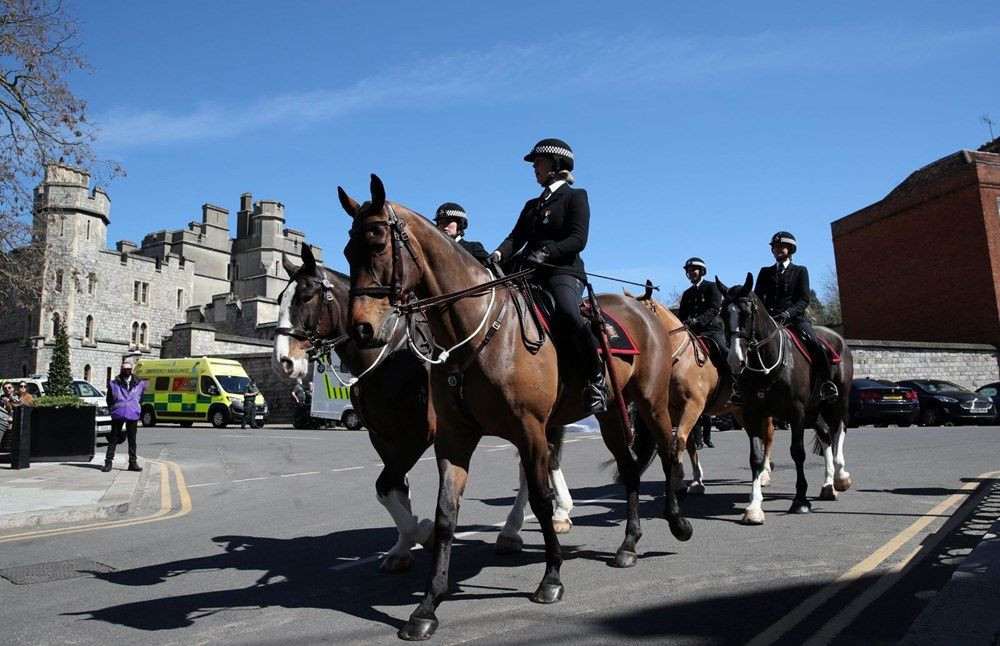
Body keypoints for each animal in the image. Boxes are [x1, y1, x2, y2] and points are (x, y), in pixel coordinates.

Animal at [272, 247, 580, 572]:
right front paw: (401, 548)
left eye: (307, 296)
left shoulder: (419, 434)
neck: (389, 355)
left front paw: (424, 533)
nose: (282, 362)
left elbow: (385, 485)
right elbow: (395, 488)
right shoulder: (382, 437)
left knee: (541, 463)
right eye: (280, 299)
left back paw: (540, 519)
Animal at [340, 173, 692, 644]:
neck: (476, 330)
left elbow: (541, 500)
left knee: (670, 451)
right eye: (347, 251)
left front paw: (551, 578)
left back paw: (677, 523)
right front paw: (428, 606)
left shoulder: (530, 430)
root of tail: (645, 308)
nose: (362, 329)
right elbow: (446, 514)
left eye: (377, 244)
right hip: (610, 415)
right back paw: (628, 545)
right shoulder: (453, 438)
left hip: (650, 403)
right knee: (631, 468)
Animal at [720, 274, 852, 528]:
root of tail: (837, 337)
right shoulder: (753, 413)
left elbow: (797, 452)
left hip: (837, 401)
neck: (766, 366)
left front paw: (800, 500)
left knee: (838, 430)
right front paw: (754, 507)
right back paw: (828, 485)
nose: (734, 360)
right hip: (813, 409)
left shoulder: (796, 413)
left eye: (746, 314)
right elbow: (756, 458)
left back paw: (841, 476)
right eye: (722, 314)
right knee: (825, 435)